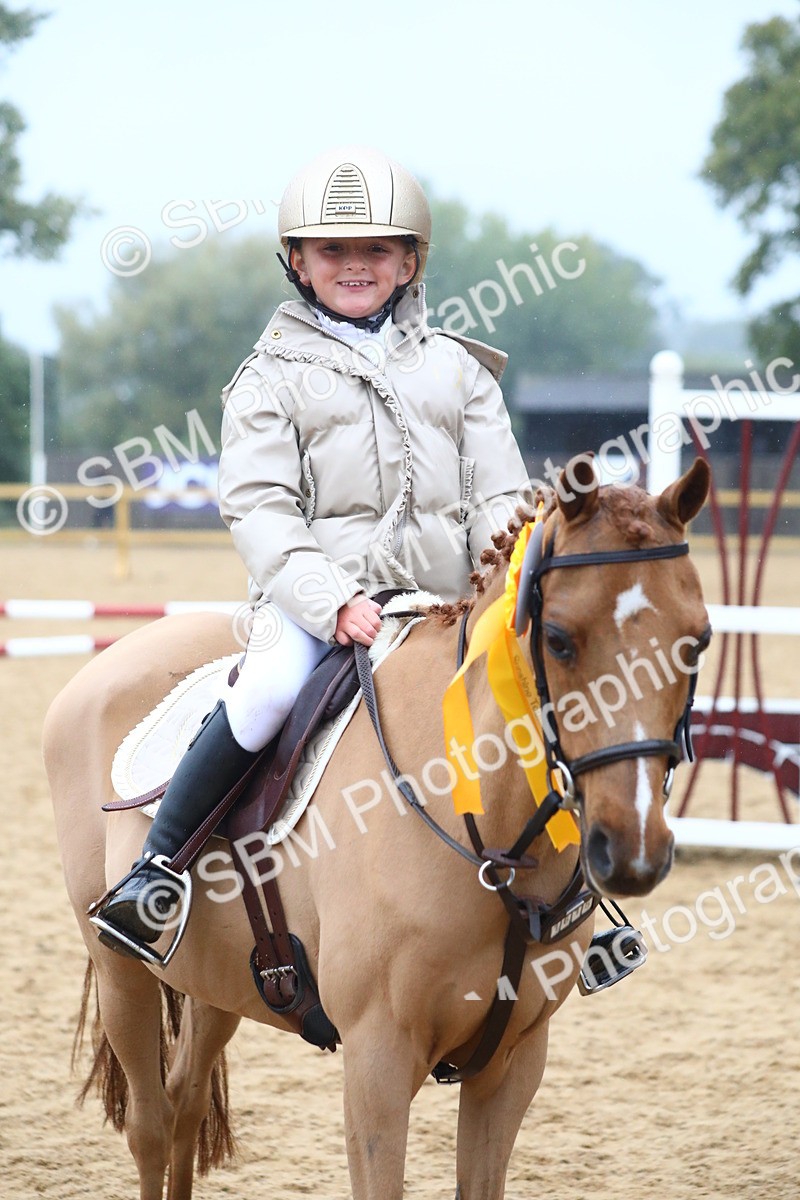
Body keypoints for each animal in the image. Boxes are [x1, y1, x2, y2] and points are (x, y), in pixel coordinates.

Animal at [44, 455, 710, 1200]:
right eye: (560, 639)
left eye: (698, 641)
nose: (633, 849)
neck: (489, 840)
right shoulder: (377, 1064)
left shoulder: (512, 1063)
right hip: (119, 974)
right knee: (152, 1127)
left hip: (216, 983)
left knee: (186, 1102)